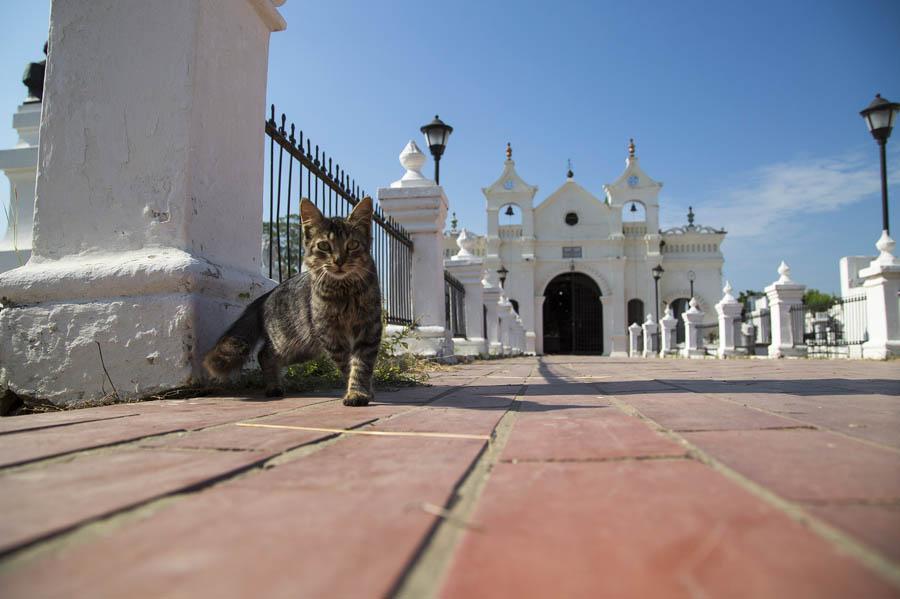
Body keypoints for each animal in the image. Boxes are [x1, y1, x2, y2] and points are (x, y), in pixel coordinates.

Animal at [204, 197, 384, 408]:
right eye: (324, 246)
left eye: (353, 245)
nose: (339, 261)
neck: (344, 290)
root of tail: (267, 294)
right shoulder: (330, 334)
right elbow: (348, 364)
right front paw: (356, 391)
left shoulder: (369, 328)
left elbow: (362, 365)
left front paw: (360, 391)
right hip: (291, 341)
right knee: (264, 354)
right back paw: (273, 387)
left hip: (301, 349)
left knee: (266, 355)